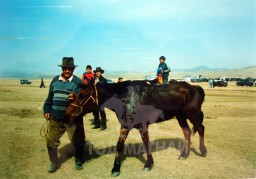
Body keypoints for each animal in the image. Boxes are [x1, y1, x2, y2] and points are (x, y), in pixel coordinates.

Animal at [65, 81, 207, 176]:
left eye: (82, 95)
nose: (67, 114)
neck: (126, 97)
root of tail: (195, 87)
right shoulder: (125, 126)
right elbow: (119, 145)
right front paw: (116, 168)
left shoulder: (142, 126)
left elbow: (146, 143)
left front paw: (148, 164)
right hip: (180, 116)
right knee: (187, 132)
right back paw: (185, 154)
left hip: (192, 114)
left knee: (201, 128)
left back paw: (203, 151)